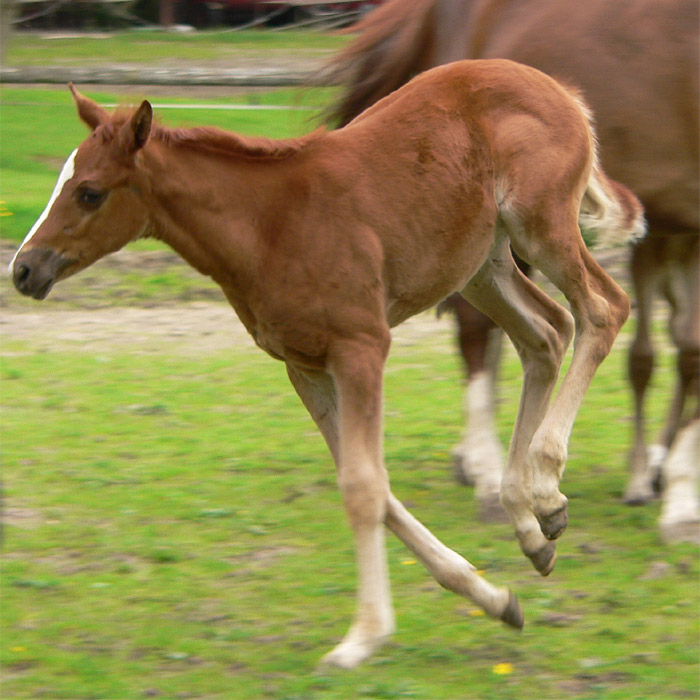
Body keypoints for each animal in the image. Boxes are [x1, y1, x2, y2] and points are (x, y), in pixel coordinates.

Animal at [12, 61, 644, 668]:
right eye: (63, 180)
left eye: (89, 192)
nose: (23, 269)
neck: (269, 224)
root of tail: (562, 93)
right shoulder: (305, 367)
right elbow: (373, 487)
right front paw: (491, 598)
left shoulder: (361, 346)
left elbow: (364, 488)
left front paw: (362, 637)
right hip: (481, 264)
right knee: (545, 334)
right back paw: (531, 522)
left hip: (539, 226)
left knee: (603, 309)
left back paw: (545, 483)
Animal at [326, 0, 700, 532]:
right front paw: (677, 497)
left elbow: (683, 350)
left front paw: (669, 482)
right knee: (487, 328)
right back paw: (491, 471)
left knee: (531, 330)